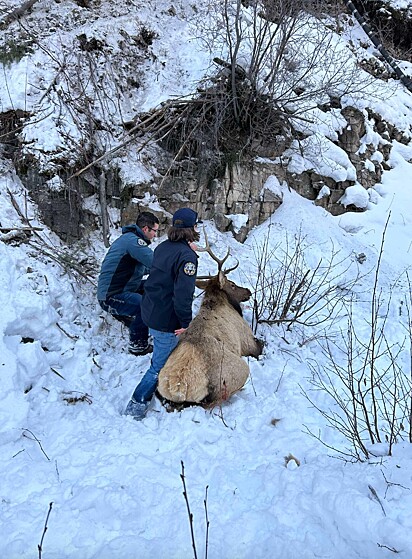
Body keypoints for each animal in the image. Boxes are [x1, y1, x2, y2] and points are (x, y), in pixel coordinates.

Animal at [156, 234, 262, 404]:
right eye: (232, 284)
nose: (248, 291)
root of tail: (177, 386)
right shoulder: (248, 340)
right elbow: (260, 346)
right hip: (238, 372)